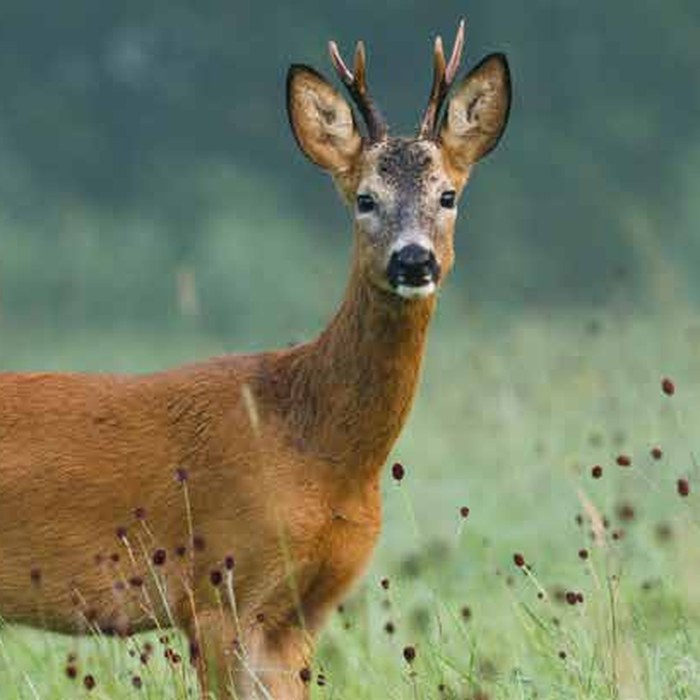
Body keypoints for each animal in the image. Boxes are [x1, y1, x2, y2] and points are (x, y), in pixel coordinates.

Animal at [0, 19, 510, 700]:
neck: (316, 447)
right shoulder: (220, 588)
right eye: (365, 199)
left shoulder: (301, 611)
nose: (413, 260)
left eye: (448, 195)